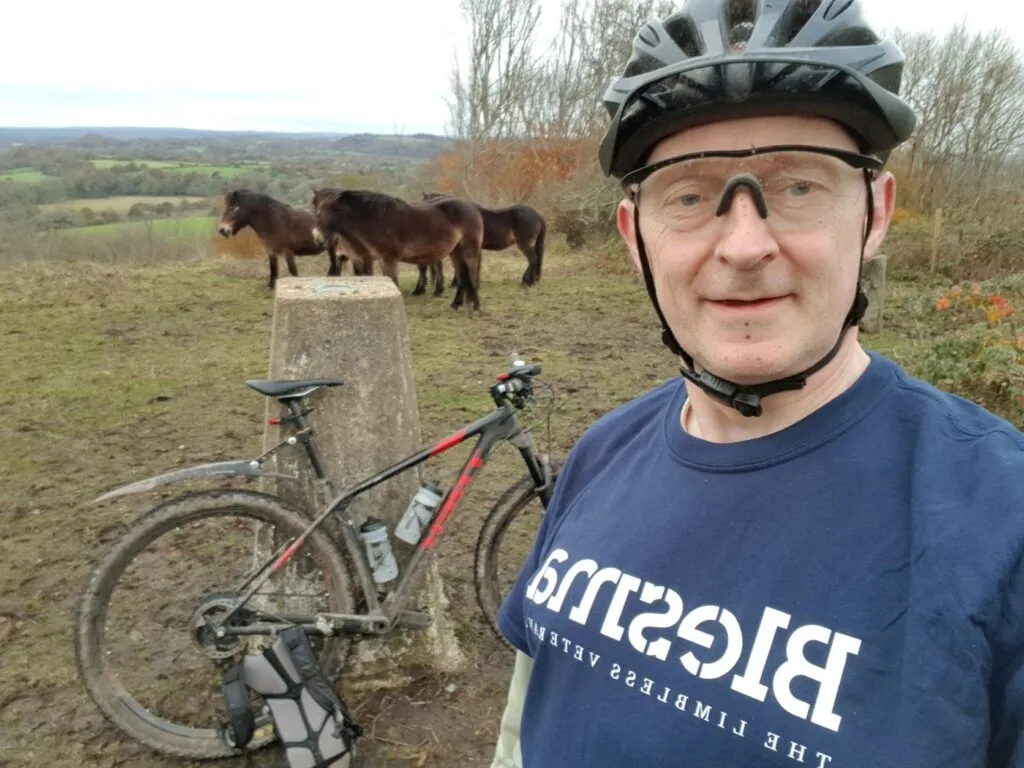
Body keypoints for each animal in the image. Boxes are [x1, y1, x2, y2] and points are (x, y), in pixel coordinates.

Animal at [309, 189, 485, 313]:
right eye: (314, 210)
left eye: (328, 209)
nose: (317, 238)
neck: (375, 219)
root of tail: (472, 208)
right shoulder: (367, 259)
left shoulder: (388, 259)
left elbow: (393, 282)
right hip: (455, 252)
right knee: (462, 276)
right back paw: (456, 304)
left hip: (469, 249)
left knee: (471, 274)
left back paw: (476, 306)